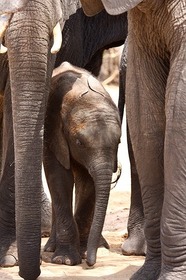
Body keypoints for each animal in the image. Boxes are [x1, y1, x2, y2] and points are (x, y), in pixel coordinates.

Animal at [42, 61, 120, 266]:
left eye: (118, 142)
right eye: (79, 143)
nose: (92, 262)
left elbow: (88, 182)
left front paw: (83, 253)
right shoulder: (53, 130)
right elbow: (59, 178)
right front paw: (65, 260)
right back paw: (51, 249)